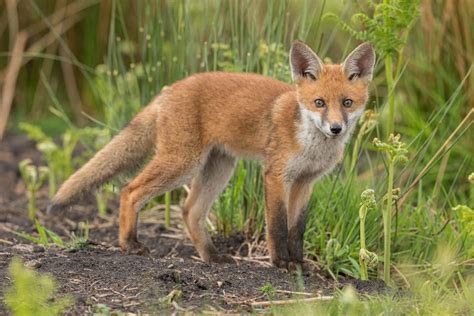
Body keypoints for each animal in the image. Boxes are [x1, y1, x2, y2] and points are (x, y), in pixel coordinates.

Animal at [47, 40, 374, 270]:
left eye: (347, 103)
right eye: (319, 103)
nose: (335, 128)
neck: (310, 142)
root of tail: (169, 89)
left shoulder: (305, 182)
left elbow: (297, 229)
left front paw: (299, 264)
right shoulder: (276, 175)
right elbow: (278, 226)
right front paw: (281, 263)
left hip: (219, 167)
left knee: (190, 211)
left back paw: (211, 256)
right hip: (182, 163)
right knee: (130, 190)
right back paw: (129, 244)